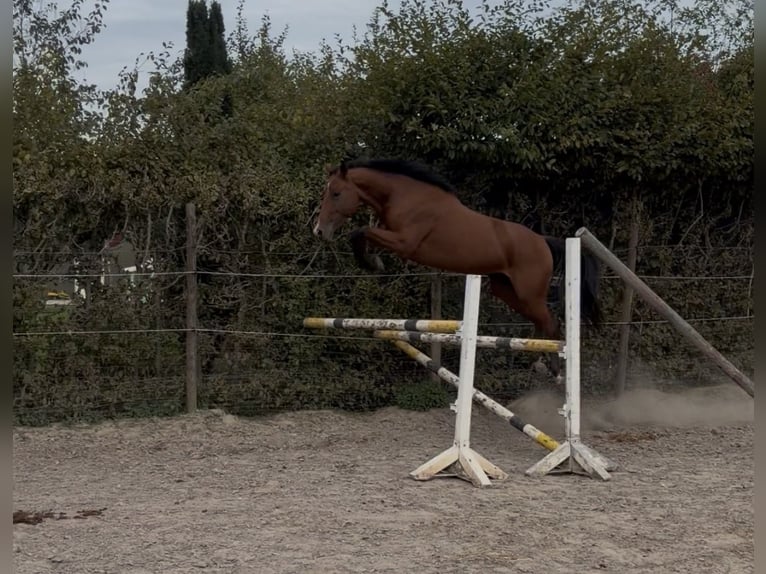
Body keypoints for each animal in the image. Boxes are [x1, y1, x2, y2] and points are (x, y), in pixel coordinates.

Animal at [311, 157, 602, 382]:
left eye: (336, 193)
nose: (319, 232)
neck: (403, 196)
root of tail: (543, 241)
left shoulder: (405, 243)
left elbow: (360, 232)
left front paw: (371, 263)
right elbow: (364, 234)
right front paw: (372, 261)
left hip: (528, 294)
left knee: (551, 323)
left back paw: (554, 369)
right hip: (506, 290)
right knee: (542, 321)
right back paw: (539, 361)